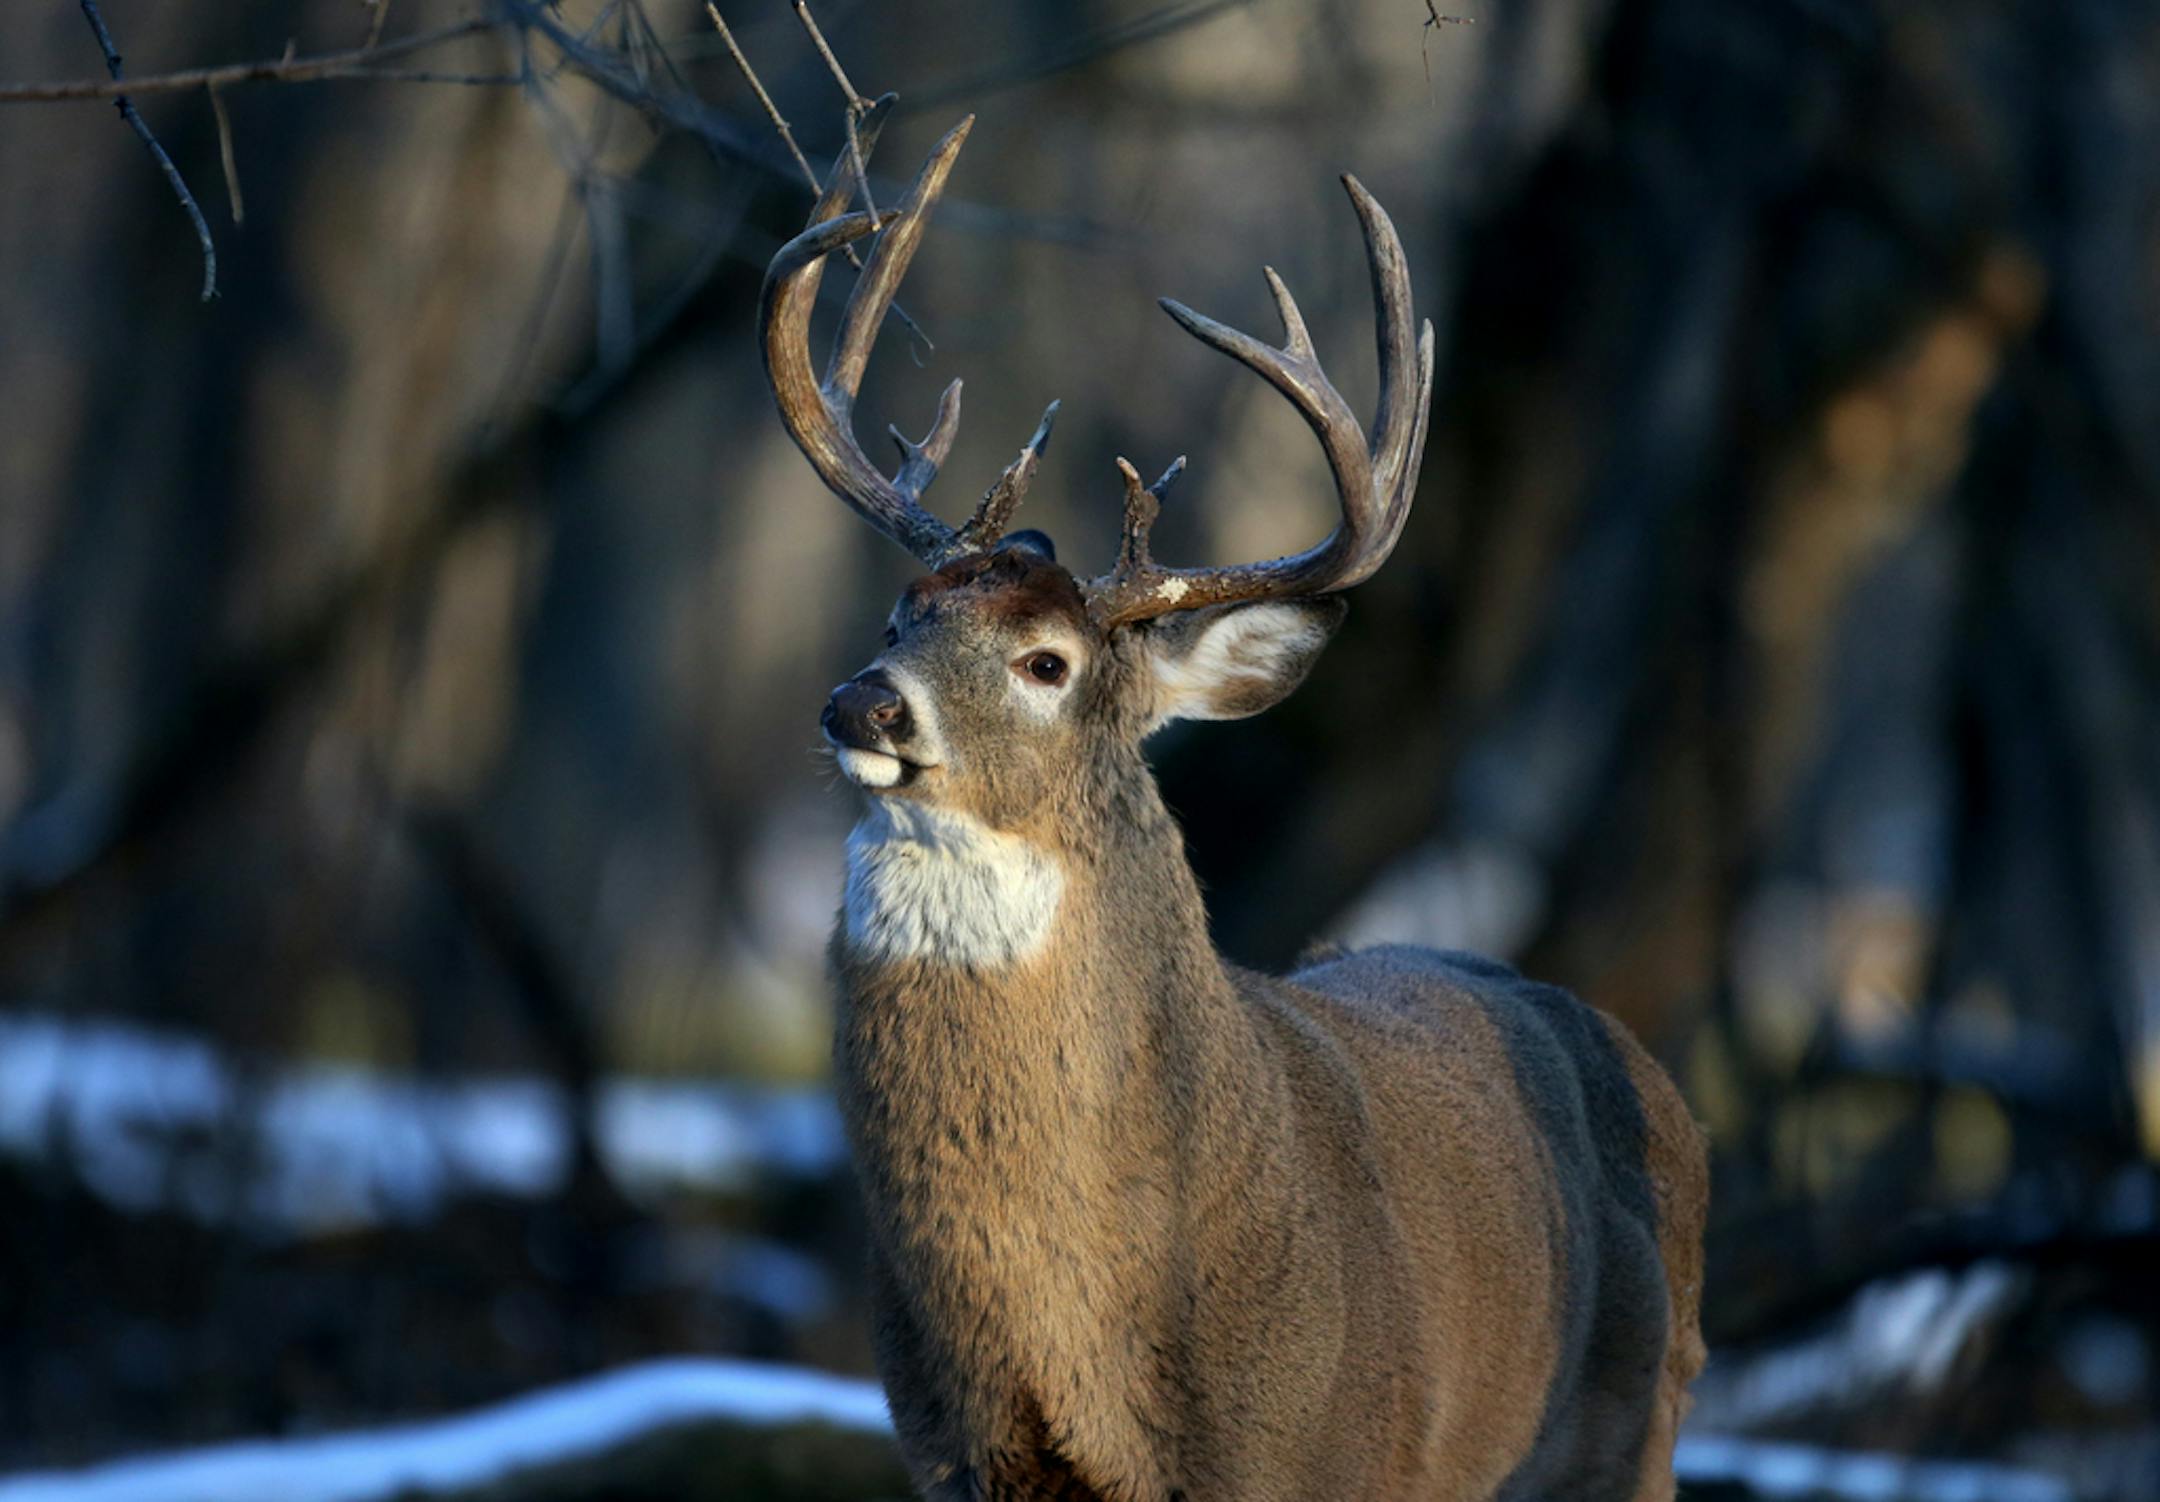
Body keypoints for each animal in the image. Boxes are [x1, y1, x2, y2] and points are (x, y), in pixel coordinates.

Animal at [761, 101, 1707, 1502]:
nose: (861, 705)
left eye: (1047, 663)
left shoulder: (1339, 1447)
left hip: (1629, 1428)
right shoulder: (947, 1450)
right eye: (900, 616)